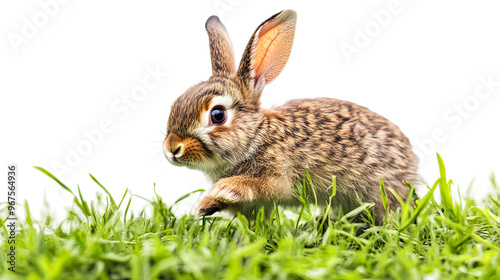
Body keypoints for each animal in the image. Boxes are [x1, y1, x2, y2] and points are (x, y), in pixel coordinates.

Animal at [164, 9, 422, 224]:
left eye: (217, 115)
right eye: (175, 103)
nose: (172, 148)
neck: (255, 137)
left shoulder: (279, 176)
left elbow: (262, 187)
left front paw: (224, 189)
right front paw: (205, 206)